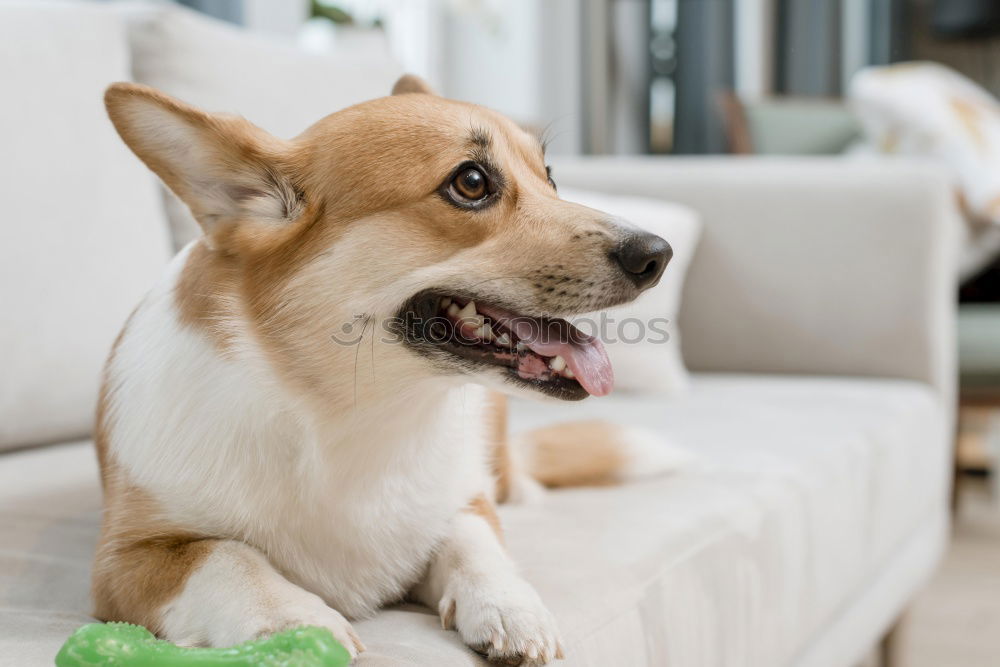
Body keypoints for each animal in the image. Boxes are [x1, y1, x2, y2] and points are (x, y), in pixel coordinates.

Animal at [94, 75, 672, 664]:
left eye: (550, 176)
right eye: (471, 182)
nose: (658, 255)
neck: (359, 416)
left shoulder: (467, 500)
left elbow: (474, 541)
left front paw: (510, 606)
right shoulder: (126, 561)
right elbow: (228, 558)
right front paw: (294, 624)